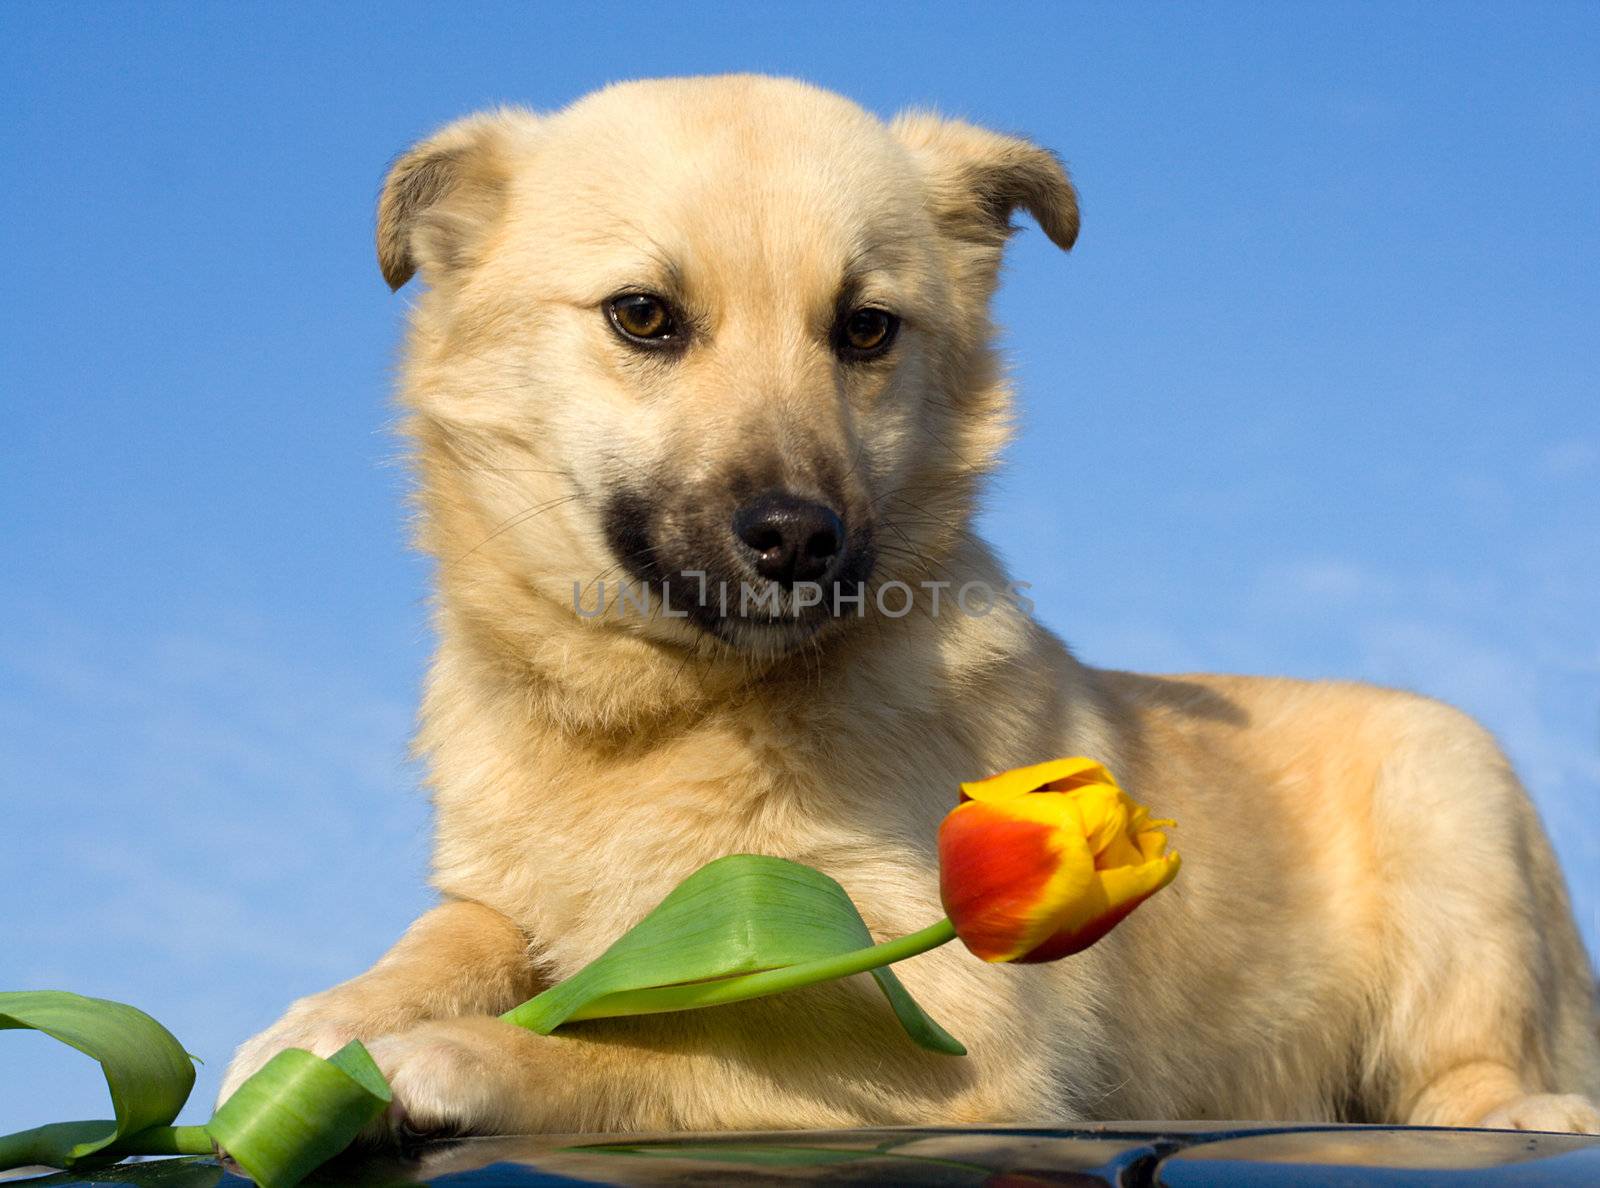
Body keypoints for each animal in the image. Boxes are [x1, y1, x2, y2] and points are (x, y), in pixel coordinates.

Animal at [216, 76, 1600, 1146]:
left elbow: (693, 1054)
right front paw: (323, 1029)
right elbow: (443, 942)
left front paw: (469, 1056)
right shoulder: (503, 898)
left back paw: (1520, 1109)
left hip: (1453, 800)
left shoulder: (952, 1030)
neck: (660, 724)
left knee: (1467, 1069)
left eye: (866, 329)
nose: (796, 538)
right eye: (643, 317)